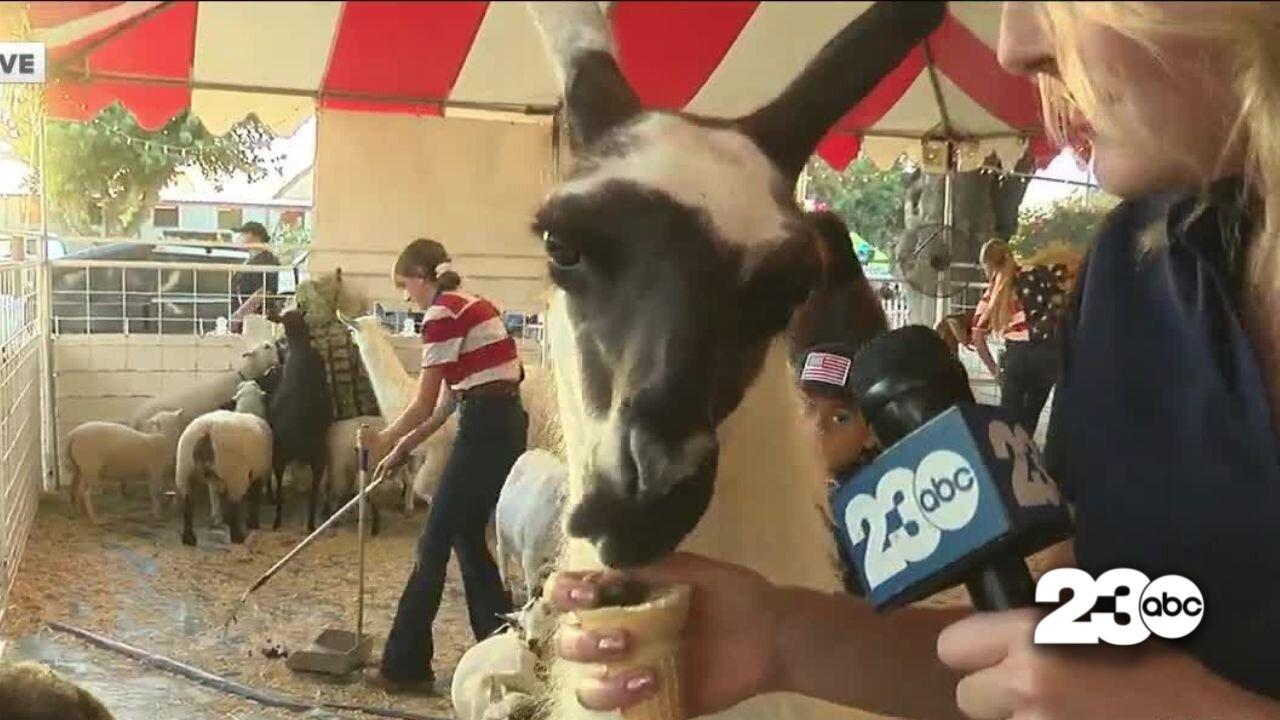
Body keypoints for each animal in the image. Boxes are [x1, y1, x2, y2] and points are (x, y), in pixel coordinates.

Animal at [175, 407, 272, 545]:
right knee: (234, 505)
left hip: (184, 469)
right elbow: (254, 499)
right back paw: (238, 537)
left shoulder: (217, 481)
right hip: (234, 473)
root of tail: (207, 429)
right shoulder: (259, 474)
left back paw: (189, 538)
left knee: (188, 503)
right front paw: (252, 524)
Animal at [494, 448, 565, 599]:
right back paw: (506, 583)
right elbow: (534, 588)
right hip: (501, 530)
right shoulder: (530, 554)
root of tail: (533, 451)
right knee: (502, 552)